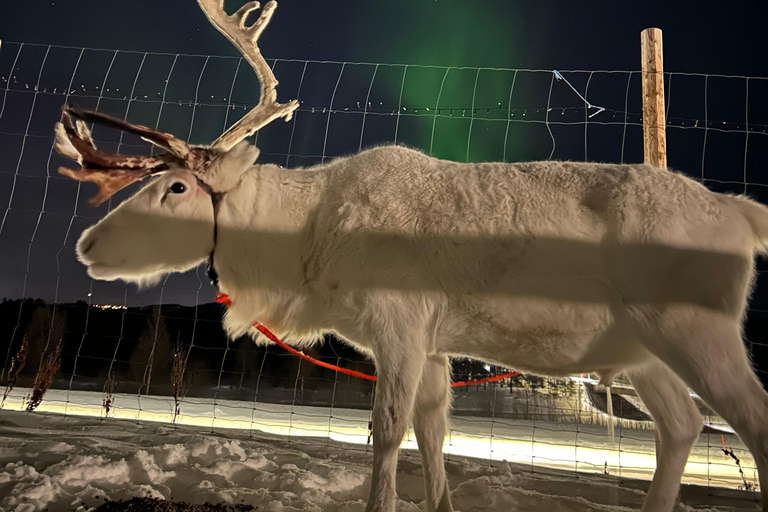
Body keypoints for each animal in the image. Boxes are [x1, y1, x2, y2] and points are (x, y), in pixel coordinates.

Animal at [53, 1, 768, 511]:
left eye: (176, 187)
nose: (87, 245)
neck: (305, 252)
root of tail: (741, 213)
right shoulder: (434, 344)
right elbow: (433, 434)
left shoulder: (400, 321)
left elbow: (387, 431)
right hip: (641, 347)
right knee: (682, 425)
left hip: (692, 325)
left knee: (749, 420)